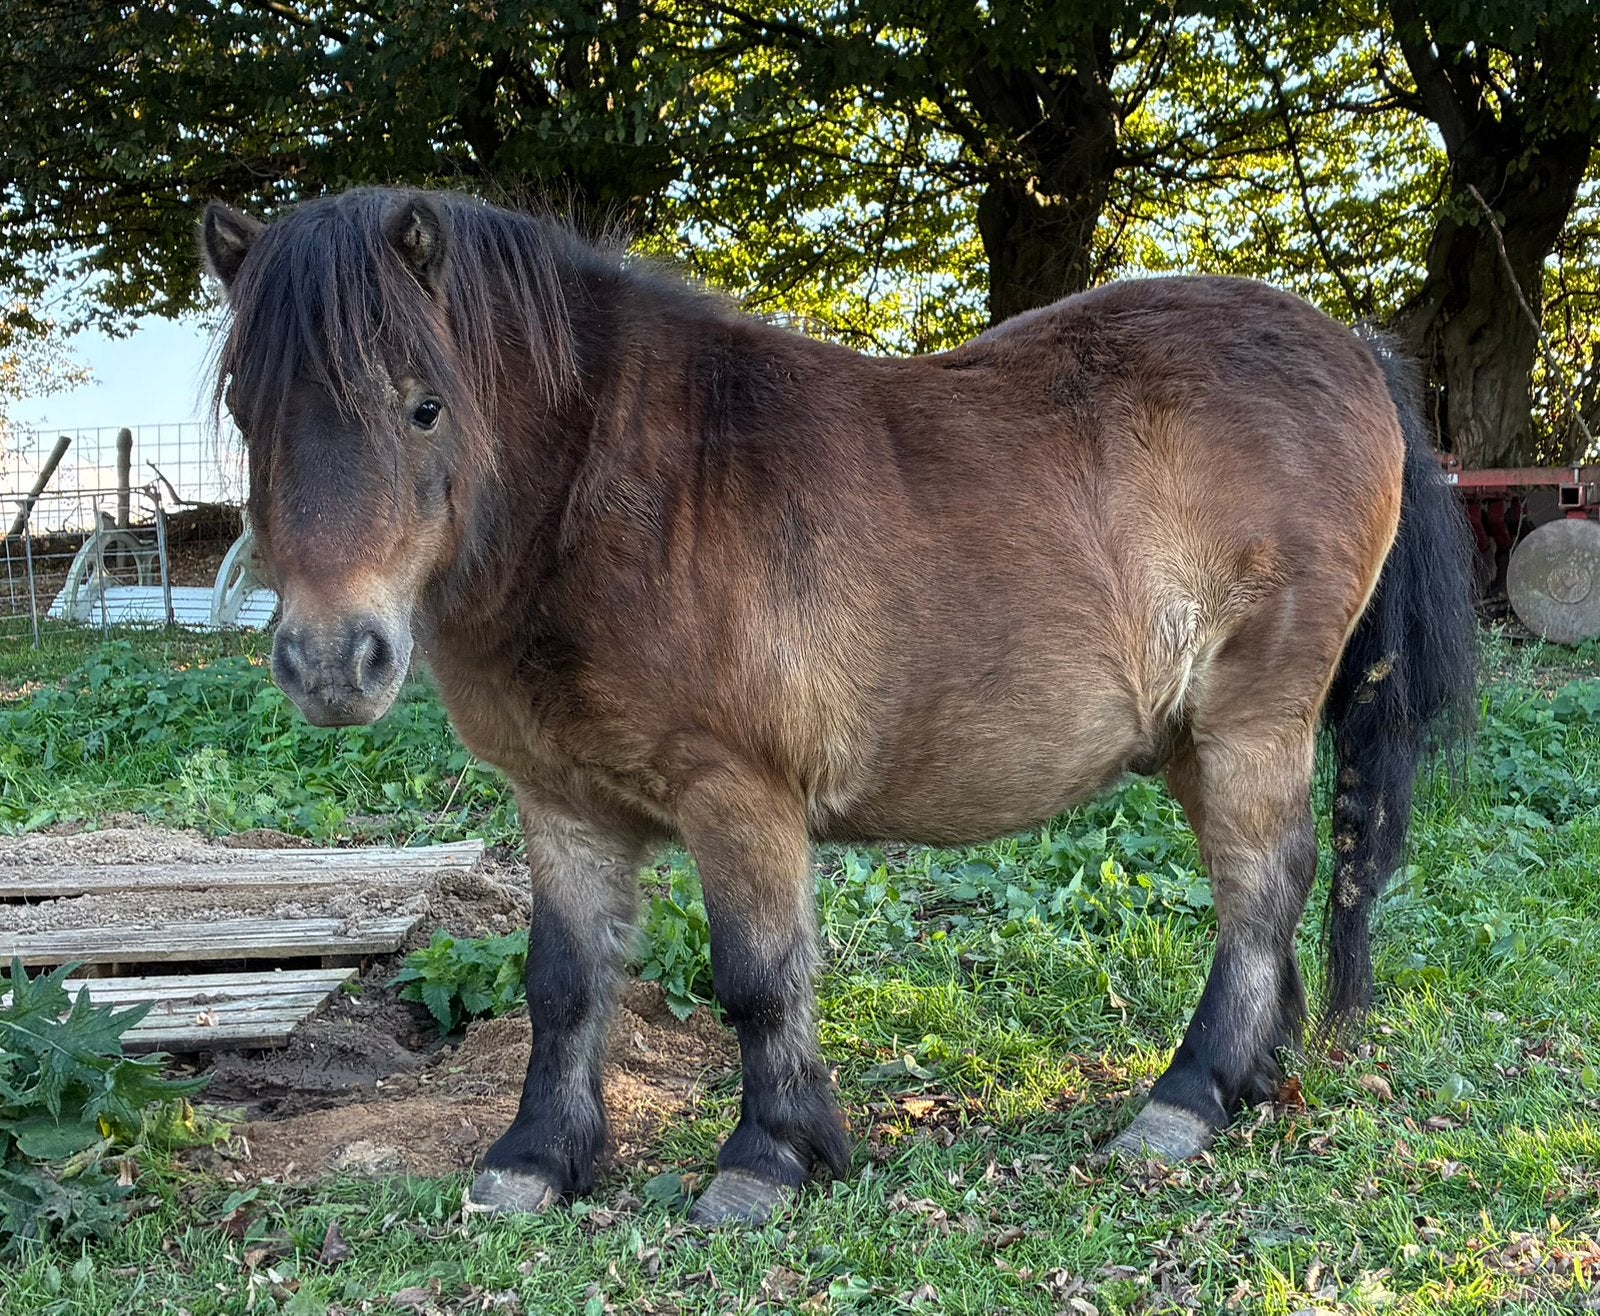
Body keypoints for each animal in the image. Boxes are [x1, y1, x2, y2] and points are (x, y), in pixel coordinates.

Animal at [201, 186, 1476, 1225]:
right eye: (251, 415)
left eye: (423, 407)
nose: (331, 660)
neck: (618, 503)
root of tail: (1351, 348)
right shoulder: (564, 805)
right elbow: (563, 982)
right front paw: (536, 1159)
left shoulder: (739, 796)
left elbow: (757, 976)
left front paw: (766, 1158)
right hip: (1193, 742)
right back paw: (1251, 1078)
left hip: (1254, 718)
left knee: (1264, 885)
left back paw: (1186, 1099)